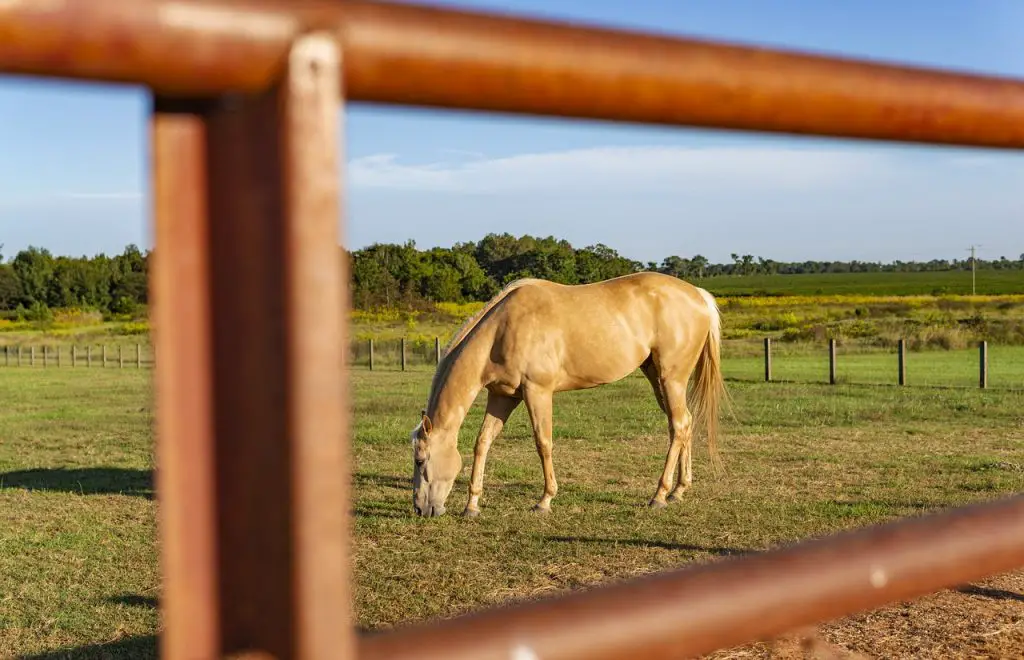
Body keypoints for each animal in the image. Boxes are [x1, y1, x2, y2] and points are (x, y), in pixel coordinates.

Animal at [409, 270, 729, 517]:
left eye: (421, 460)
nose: (420, 509)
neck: (502, 329)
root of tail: (698, 295)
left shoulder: (537, 392)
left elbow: (543, 443)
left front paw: (544, 501)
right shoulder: (503, 396)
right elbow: (483, 442)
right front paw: (472, 505)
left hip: (671, 379)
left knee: (679, 426)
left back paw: (659, 496)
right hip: (658, 379)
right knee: (683, 424)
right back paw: (678, 491)